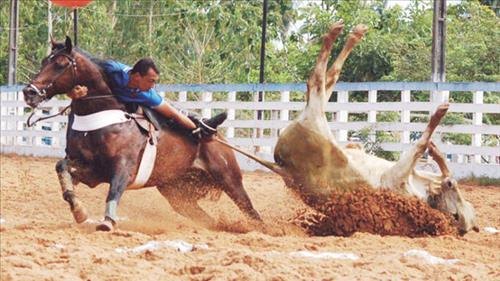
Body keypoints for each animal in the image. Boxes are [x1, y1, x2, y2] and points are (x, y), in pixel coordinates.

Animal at [22, 36, 262, 231]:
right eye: (44, 61)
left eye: (60, 64)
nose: (29, 92)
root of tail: (216, 136)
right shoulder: (91, 170)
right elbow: (62, 169)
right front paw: (79, 211)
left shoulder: (123, 167)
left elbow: (114, 191)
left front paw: (108, 221)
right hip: (176, 193)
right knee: (207, 219)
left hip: (229, 179)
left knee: (252, 212)